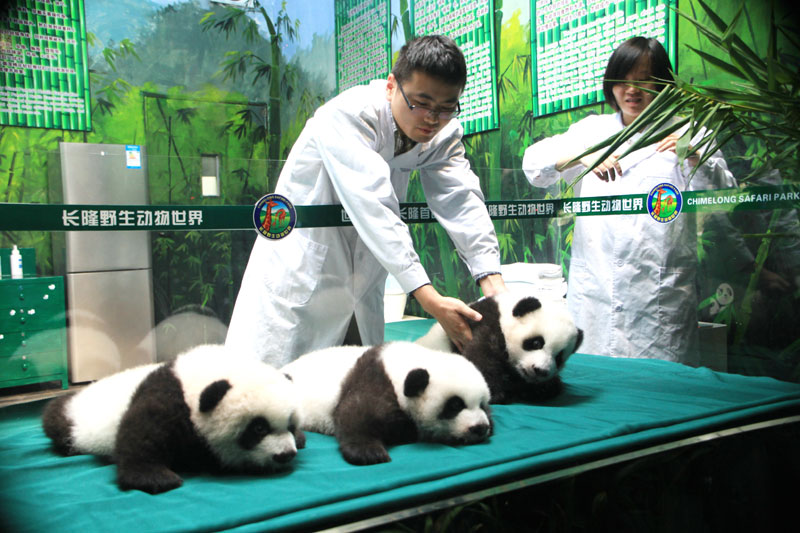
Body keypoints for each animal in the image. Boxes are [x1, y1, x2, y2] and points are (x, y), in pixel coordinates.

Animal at [42, 344, 305, 494]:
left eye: (290, 424)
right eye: (258, 428)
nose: (285, 455)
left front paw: (300, 439)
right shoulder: (169, 401)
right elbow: (141, 436)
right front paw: (156, 478)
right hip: (76, 419)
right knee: (55, 418)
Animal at [282, 341, 492, 466]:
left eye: (482, 404)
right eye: (455, 405)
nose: (480, 428)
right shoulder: (374, 377)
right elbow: (356, 414)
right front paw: (370, 454)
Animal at [415, 290, 584, 404]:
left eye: (559, 357)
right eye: (536, 343)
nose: (540, 370)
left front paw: (544, 388)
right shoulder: (481, 324)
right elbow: (481, 356)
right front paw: (495, 393)